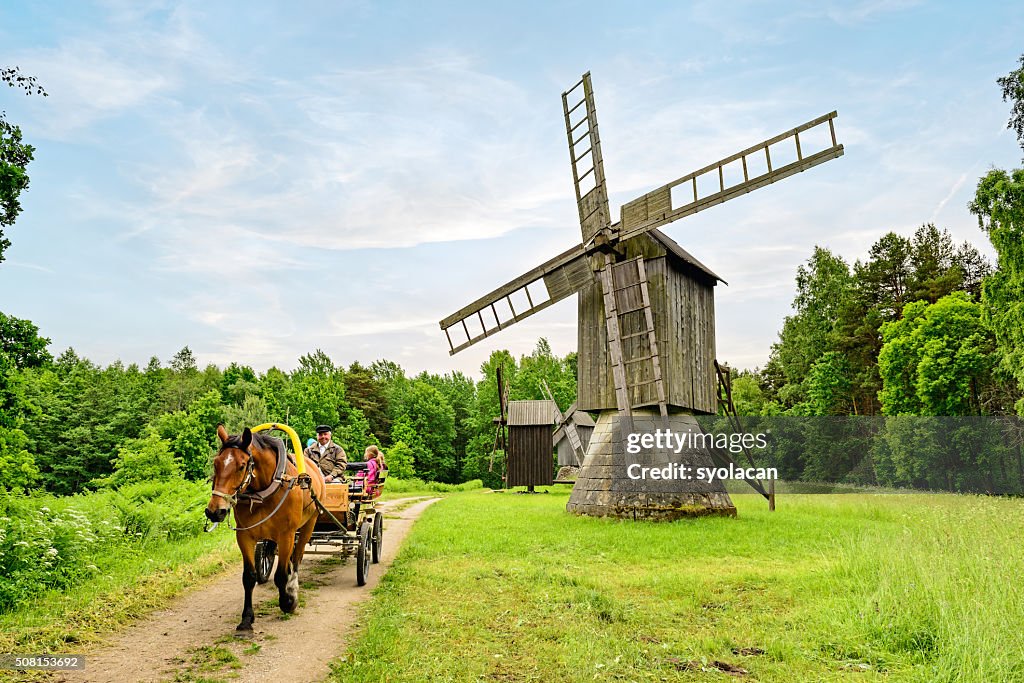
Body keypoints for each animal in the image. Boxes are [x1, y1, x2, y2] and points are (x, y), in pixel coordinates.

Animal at [203, 428, 323, 630]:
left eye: (242, 466)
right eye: (216, 463)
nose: (214, 511)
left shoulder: (287, 535)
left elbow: (281, 575)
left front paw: (287, 601)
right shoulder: (245, 536)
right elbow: (249, 577)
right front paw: (246, 619)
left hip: (308, 524)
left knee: (297, 557)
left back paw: (292, 587)